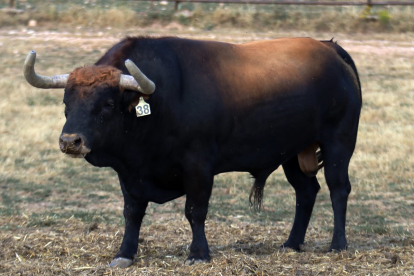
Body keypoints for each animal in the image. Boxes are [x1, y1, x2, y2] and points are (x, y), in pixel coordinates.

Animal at [22, 36, 360, 268]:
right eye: (66, 101)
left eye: (106, 104)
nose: (70, 141)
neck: (160, 102)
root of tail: (330, 49)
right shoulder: (130, 172)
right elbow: (132, 213)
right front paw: (125, 253)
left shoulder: (198, 166)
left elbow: (195, 211)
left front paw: (198, 253)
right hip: (292, 152)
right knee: (306, 192)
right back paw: (291, 243)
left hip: (338, 143)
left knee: (338, 189)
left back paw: (337, 244)